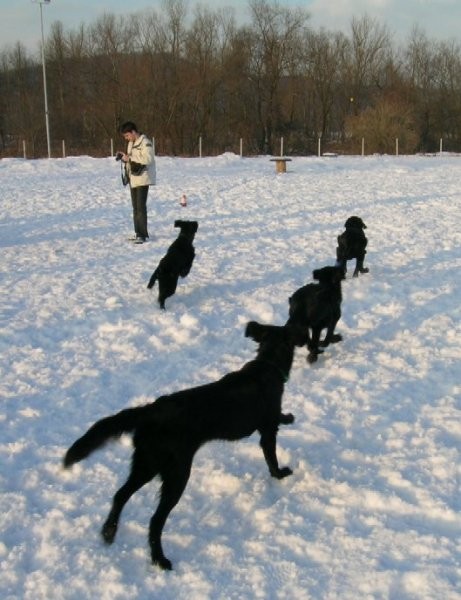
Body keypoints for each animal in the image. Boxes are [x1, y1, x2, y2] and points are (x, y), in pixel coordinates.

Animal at [61, 322, 306, 568]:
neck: (268, 364)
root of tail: (150, 411)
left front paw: (288, 417)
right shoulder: (267, 430)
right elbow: (272, 457)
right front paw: (280, 473)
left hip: (146, 463)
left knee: (120, 495)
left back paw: (109, 532)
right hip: (176, 473)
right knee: (155, 520)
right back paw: (160, 559)